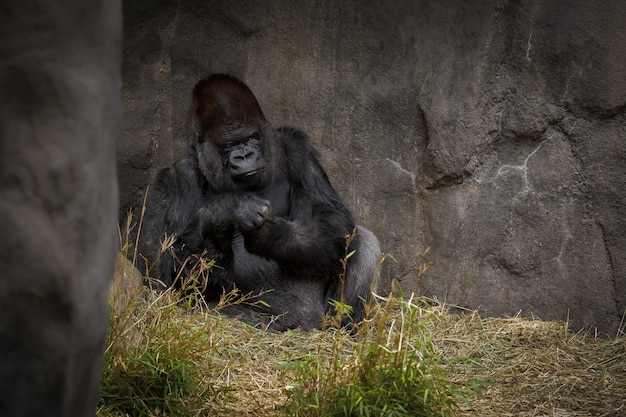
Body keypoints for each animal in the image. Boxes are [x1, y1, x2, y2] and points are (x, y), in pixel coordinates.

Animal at [139, 73, 378, 330]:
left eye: (252, 137)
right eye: (229, 145)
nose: (245, 156)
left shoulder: (297, 148)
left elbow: (332, 221)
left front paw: (271, 235)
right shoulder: (176, 180)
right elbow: (175, 277)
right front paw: (226, 213)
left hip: (325, 318)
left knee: (365, 242)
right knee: (205, 310)